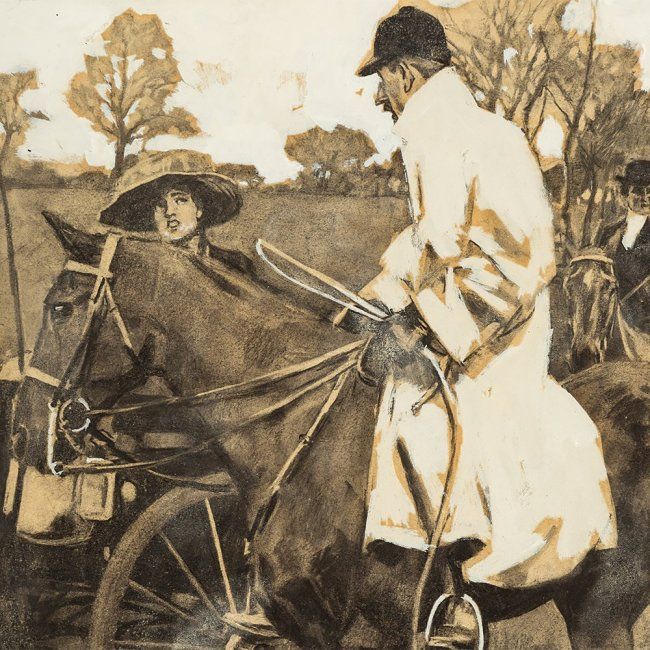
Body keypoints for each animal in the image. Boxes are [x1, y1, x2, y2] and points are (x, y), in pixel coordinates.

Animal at [10, 212, 649, 648]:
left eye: (61, 308)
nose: (22, 431)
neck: (299, 435)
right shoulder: (304, 623)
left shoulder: (375, 629)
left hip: (602, 612)